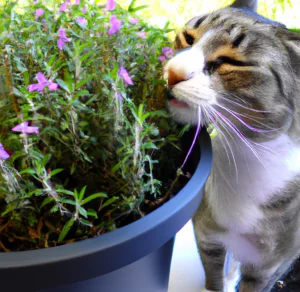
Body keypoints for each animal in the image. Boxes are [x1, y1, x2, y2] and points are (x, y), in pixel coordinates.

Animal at [164, 0, 300, 292]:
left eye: (231, 62)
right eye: (188, 38)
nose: (172, 73)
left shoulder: (268, 268)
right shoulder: (207, 236)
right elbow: (214, 277)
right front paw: (220, 282)